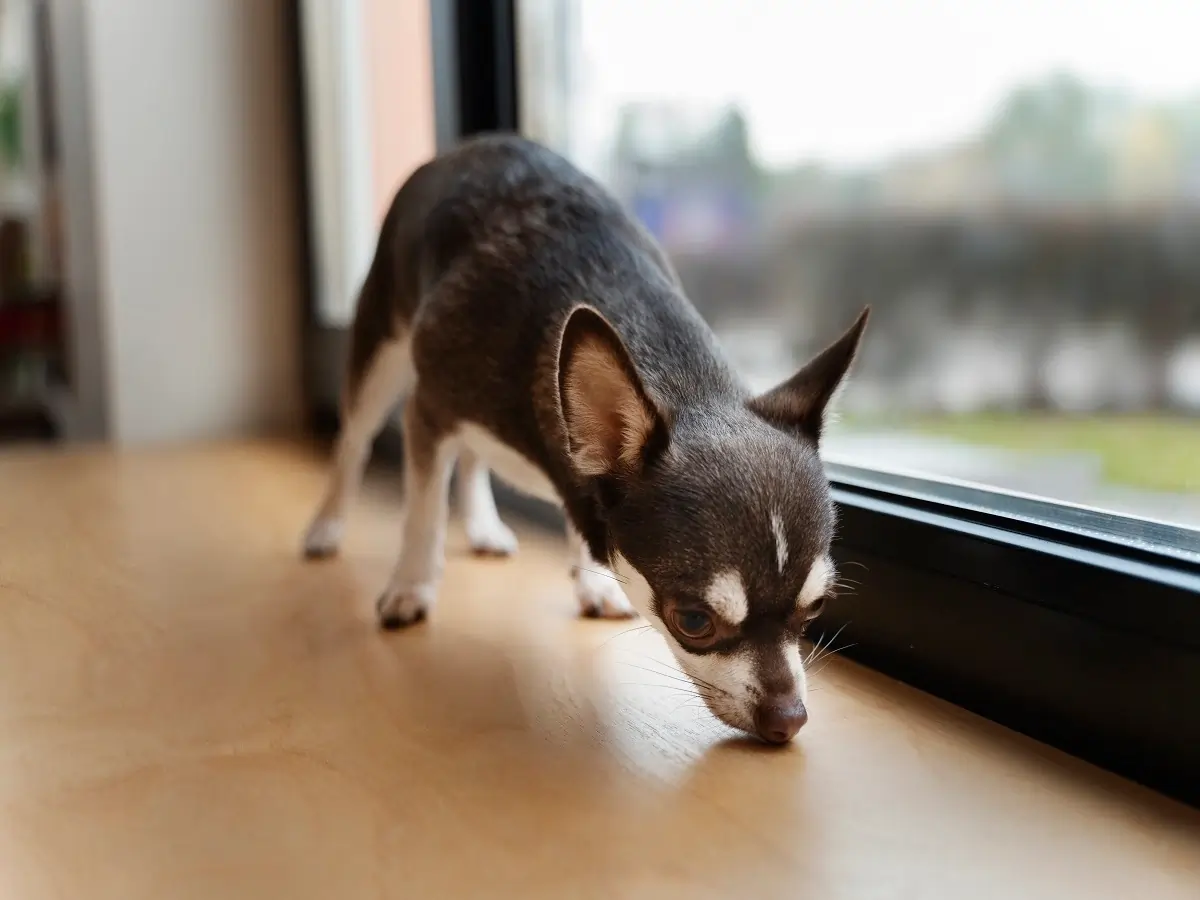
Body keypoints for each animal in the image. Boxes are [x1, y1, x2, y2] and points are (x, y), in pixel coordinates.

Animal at [298, 132, 864, 739]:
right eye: (693, 621)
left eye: (816, 609)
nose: (789, 720)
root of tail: (468, 146)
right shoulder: (429, 410)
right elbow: (422, 515)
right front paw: (411, 587)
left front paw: (595, 582)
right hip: (380, 350)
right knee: (353, 441)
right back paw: (326, 527)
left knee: (471, 457)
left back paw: (483, 526)